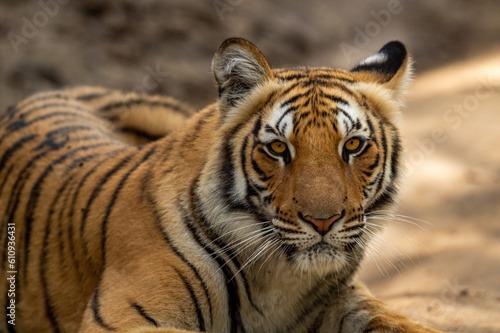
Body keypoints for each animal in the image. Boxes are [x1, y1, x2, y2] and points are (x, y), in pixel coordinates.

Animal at [0, 37, 448, 330]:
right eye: (278, 147)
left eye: (353, 145)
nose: (322, 221)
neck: (282, 279)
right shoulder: (124, 316)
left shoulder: (347, 298)